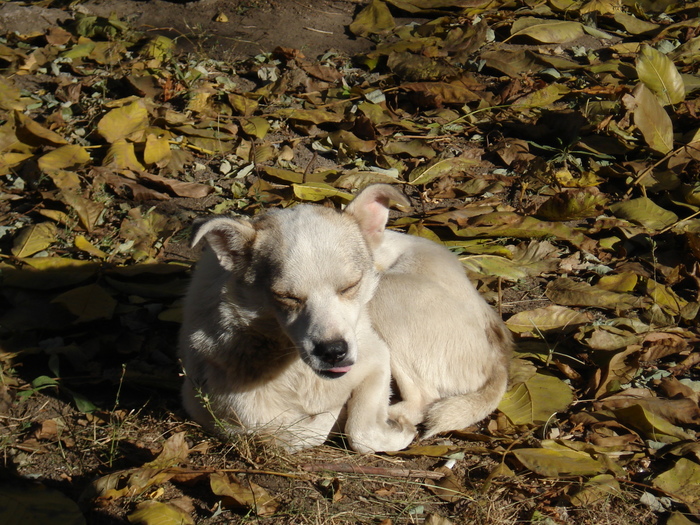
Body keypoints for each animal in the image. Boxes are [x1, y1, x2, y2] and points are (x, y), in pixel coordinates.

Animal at [178, 183, 512, 450]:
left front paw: (375, 424)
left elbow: (359, 431)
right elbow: (286, 432)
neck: (298, 374)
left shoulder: (377, 358)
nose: (333, 352)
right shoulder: (214, 410)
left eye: (350, 286)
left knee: (423, 397)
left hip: (385, 295)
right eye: (286, 297)